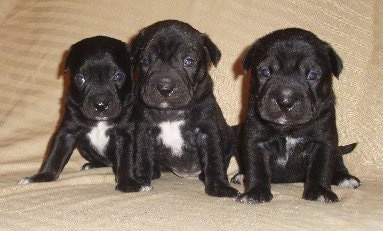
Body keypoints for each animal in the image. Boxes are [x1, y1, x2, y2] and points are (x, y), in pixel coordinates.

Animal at [19, 36, 137, 188]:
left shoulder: (125, 134)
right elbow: (55, 156)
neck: (100, 122)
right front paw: (42, 177)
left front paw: (128, 183)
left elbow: (126, 158)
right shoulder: (67, 131)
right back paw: (92, 165)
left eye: (118, 76)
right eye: (80, 78)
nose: (100, 105)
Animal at [124, 19, 240, 197]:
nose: (164, 87)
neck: (171, 112)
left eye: (189, 61)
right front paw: (141, 180)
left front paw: (219, 186)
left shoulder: (207, 131)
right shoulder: (144, 131)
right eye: (145, 61)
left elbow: (214, 160)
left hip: (229, 136)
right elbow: (142, 157)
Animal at [236, 28, 362, 203]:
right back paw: (242, 176)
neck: (289, 129)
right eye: (265, 72)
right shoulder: (256, 140)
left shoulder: (323, 141)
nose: (285, 100)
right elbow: (256, 167)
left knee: (338, 161)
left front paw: (320, 191)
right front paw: (255, 192)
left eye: (313, 75)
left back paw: (345, 178)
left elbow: (321, 167)